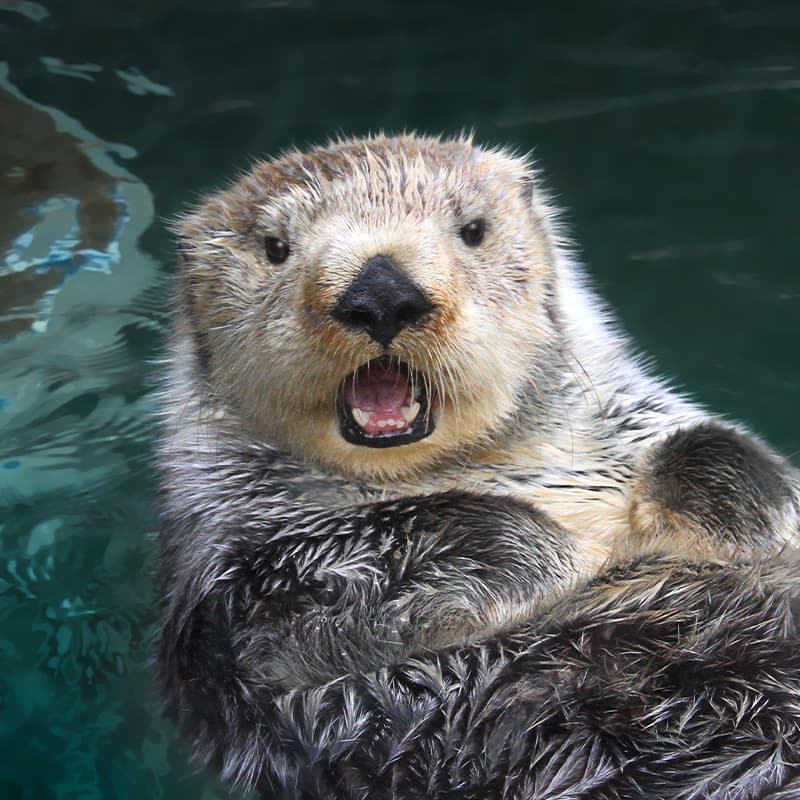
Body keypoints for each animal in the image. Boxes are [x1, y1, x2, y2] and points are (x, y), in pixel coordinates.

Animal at [157, 134, 800, 798]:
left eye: (473, 231)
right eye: (275, 248)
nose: (382, 295)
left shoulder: (630, 420)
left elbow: (727, 455)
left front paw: (721, 505)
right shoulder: (228, 585)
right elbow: (307, 584)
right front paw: (546, 547)